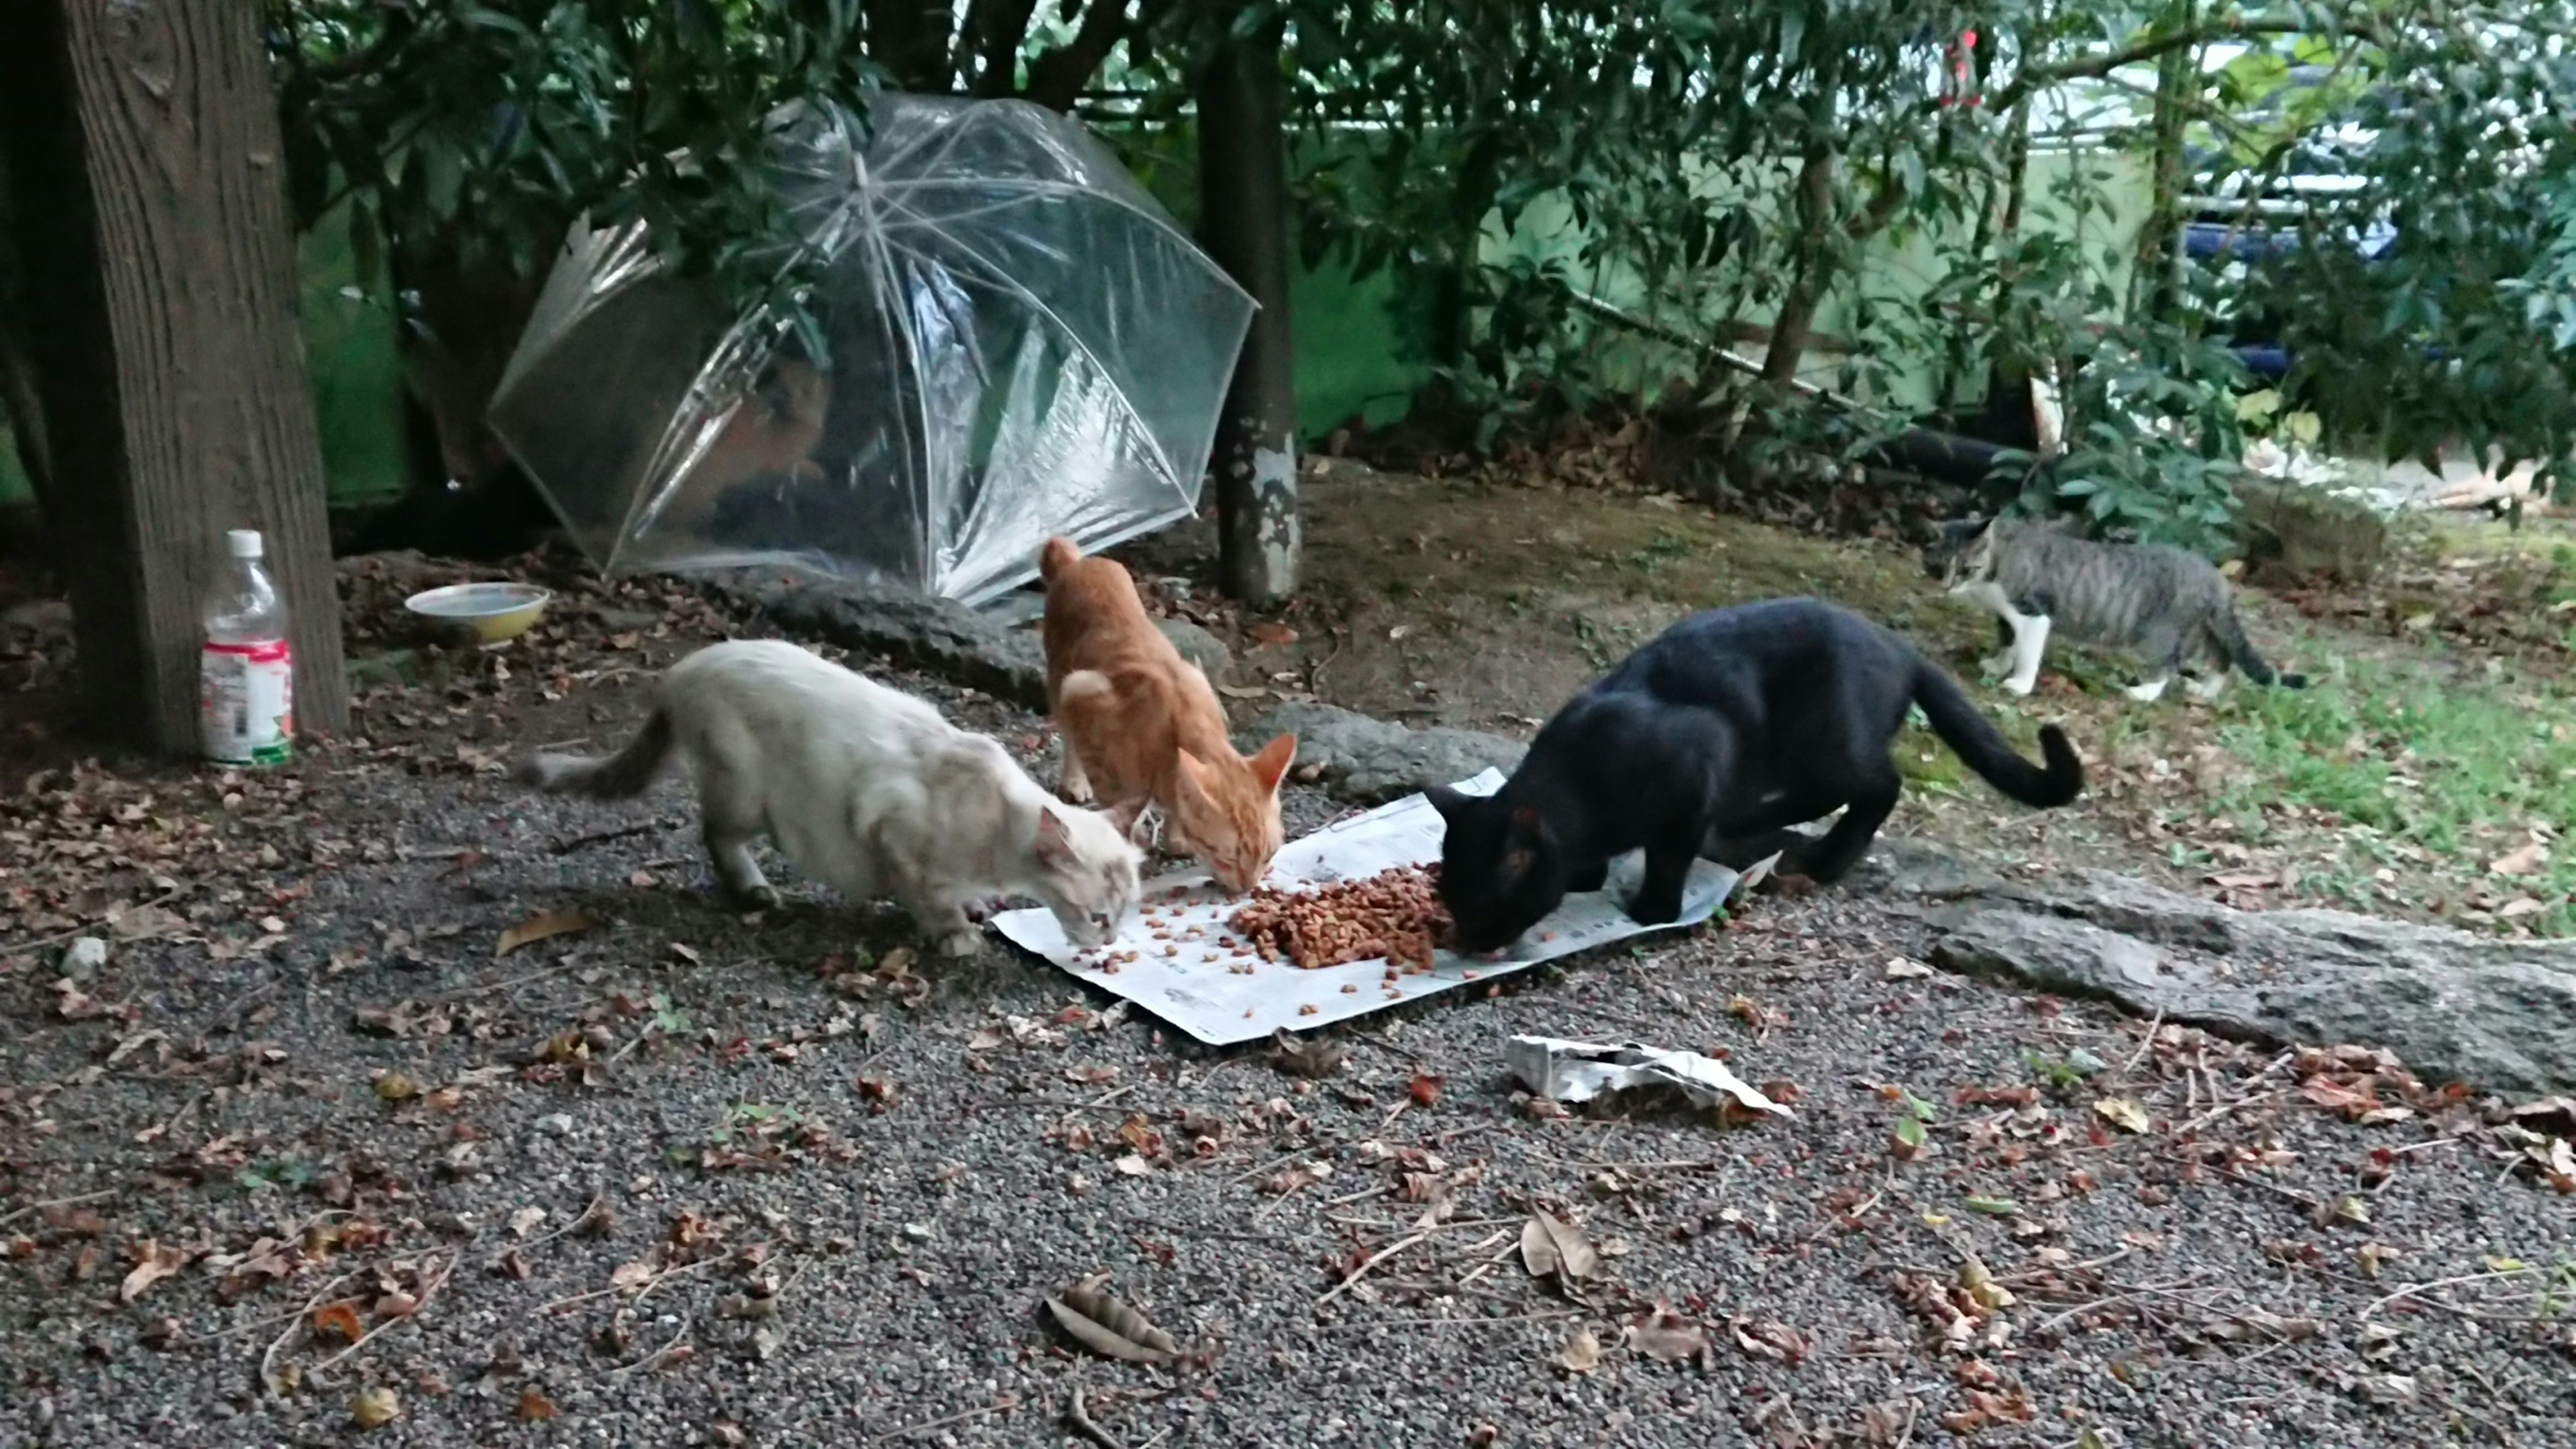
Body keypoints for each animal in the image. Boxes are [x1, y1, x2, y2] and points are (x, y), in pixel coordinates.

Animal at [513, 637, 1138, 954]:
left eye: (1126, 916)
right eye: (1097, 917)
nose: (1108, 944)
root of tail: (682, 669)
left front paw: (972, 909)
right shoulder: (890, 832)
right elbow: (928, 898)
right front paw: (957, 936)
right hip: (745, 795)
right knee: (712, 834)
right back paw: (754, 891)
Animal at [1035, 533, 1298, 892]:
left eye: (1269, 855)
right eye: (1228, 859)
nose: (1248, 888)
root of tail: (1077, 562)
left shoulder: (1197, 678)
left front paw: (1176, 835)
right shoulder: (1083, 694)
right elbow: (1115, 800)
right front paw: (1128, 834)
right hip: (1061, 680)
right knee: (1068, 737)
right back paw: (1076, 782)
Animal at [1442, 595, 2081, 949]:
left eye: (1482, 905)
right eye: (1450, 900)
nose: (1470, 943)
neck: (1579, 785)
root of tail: (1902, 646)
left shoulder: (1694, 775)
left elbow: (1669, 858)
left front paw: (1652, 910)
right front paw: (1586, 876)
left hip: (1822, 742)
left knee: (1877, 786)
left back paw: (1820, 856)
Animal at [1916, 515, 2318, 701]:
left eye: (1966, 568)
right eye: (1938, 567)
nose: (1949, 586)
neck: (1998, 561)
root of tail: (2216, 575)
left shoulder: (2034, 612)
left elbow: (2027, 652)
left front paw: (2019, 682)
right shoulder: (2005, 615)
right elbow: (2007, 643)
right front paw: (1999, 664)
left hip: (2159, 635)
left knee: (2169, 664)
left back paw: (2145, 693)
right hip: (2202, 630)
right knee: (2223, 658)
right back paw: (2205, 690)